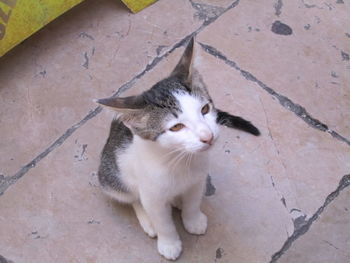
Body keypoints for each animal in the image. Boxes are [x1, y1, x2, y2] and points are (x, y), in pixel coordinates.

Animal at [95, 37, 260, 262]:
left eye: (205, 109)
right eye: (176, 127)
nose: (208, 137)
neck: (180, 160)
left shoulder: (198, 179)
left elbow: (193, 201)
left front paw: (192, 219)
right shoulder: (152, 193)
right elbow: (162, 221)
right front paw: (169, 243)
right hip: (111, 176)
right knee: (132, 197)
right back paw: (148, 220)